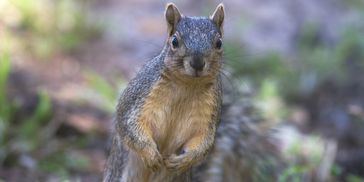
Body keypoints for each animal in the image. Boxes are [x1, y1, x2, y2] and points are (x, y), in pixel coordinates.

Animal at [102, 2, 226, 182]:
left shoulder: (208, 115)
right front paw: (151, 154)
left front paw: (183, 161)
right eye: (174, 41)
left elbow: (204, 143)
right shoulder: (140, 96)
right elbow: (130, 124)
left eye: (219, 43)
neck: (187, 85)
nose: (197, 63)